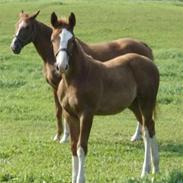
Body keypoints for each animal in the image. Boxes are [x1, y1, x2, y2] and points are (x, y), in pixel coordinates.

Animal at [53, 12, 159, 182]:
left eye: (72, 40)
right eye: (53, 39)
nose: (61, 66)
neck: (76, 78)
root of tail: (150, 62)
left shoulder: (86, 115)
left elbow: (81, 148)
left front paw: (81, 178)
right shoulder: (70, 115)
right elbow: (73, 147)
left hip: (147, 103)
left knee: (149, 129)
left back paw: (150, 169)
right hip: (134, 105)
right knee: (146, 130)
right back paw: (151, 169)